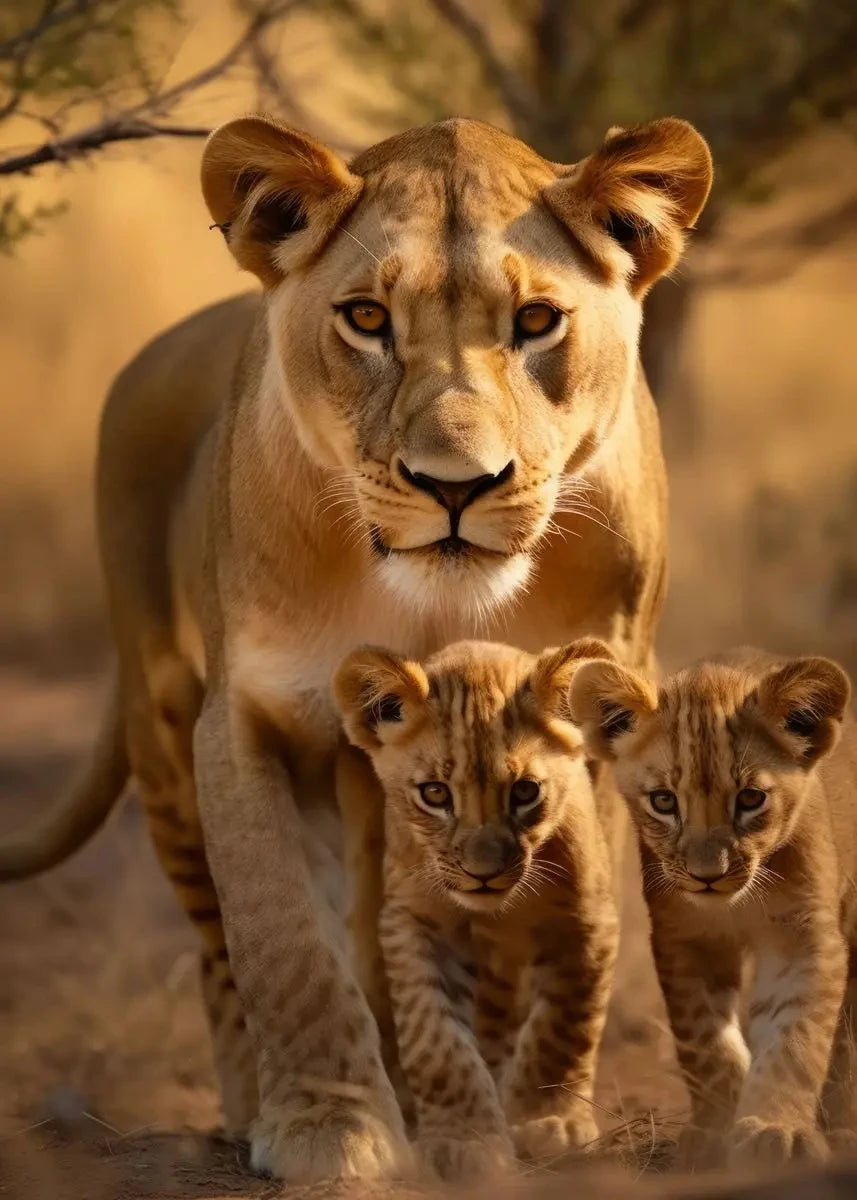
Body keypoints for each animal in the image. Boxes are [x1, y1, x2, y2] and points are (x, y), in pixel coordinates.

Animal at [0, 114, 711, 1182]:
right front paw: (330, 1132)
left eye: (536, 321)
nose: (456, 484)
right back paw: (256, 1108)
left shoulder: (597, 714)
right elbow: (285, 942)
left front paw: (535, 1111)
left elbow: (580, 923)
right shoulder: (248, 718)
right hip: (165, 734)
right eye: (367, 318)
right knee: (219, 951)